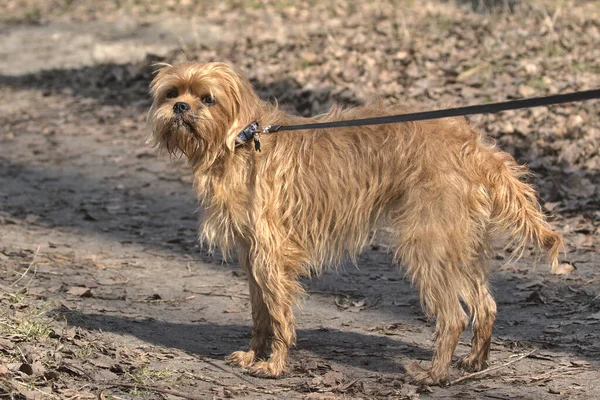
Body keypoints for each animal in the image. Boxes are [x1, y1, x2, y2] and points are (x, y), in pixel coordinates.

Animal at [148, 61, 564, 384]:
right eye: (172, 93)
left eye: (207, 99)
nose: (180, 106)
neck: (243, 139)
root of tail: (475, 147)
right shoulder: (253, 257)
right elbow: (260, 313)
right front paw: (254, 355)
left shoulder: (271, 256)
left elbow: (279, 314)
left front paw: (275, 365)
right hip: (459, 246)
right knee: (486, 305)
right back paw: (474, 362)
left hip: (427, 245)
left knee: (454, 316)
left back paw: (434, 375)